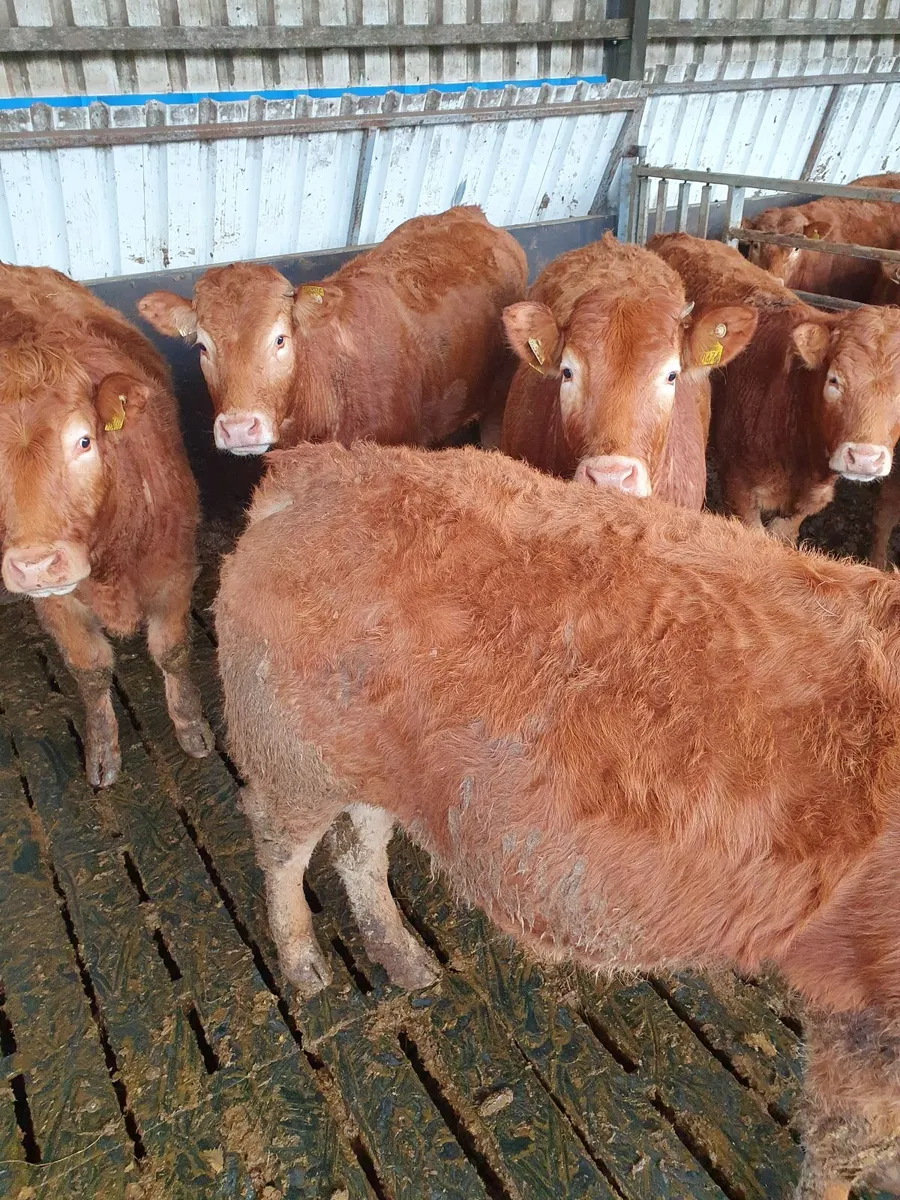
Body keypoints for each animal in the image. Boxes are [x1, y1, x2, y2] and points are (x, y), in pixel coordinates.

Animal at [0, 264, 213, 787]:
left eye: (84, 441)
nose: (35, 565)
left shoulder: (175, 571)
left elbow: (173, 651)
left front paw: (191, 727)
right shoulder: (54, 603)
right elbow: (90, 668)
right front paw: (102, 749)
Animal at [216, 439, 900, 1200]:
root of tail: (308, 465)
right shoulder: (867, 1007)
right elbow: (848, 1143)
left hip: (366, 765)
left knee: (360, 850)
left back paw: (406, 961)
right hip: (287, 750)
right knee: (280, 848)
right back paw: (305, 966)